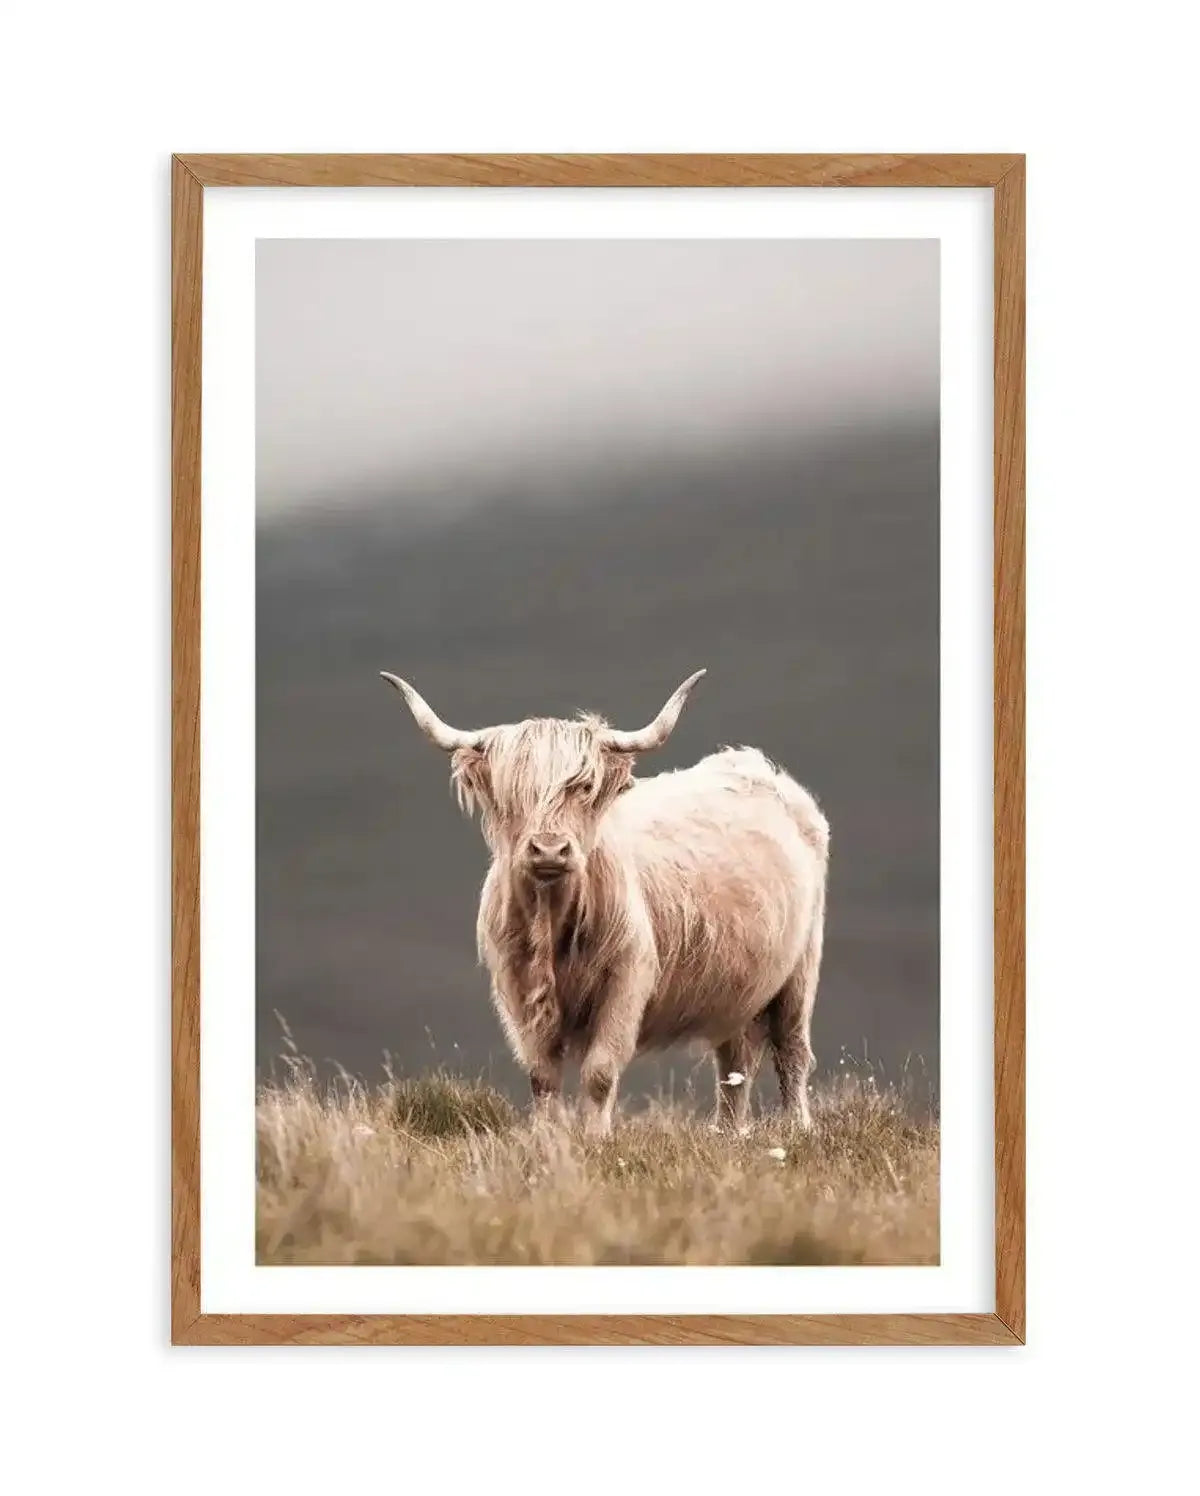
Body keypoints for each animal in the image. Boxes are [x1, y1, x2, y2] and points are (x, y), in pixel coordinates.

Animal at [381, 669, 829, 1136]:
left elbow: (599, 1071)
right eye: (512, 793)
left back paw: (798, 1128)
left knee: (792, 1050)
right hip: (738, 987)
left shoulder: (627, 980)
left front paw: (597, 1138)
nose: (549, 849)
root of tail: (752, 764)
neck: (552, 926)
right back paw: (728, 1133)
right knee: (734, 1061)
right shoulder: (517, 989)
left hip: (801, 968)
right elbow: (541, 1076)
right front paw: (547, 1138)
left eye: (584, 787)